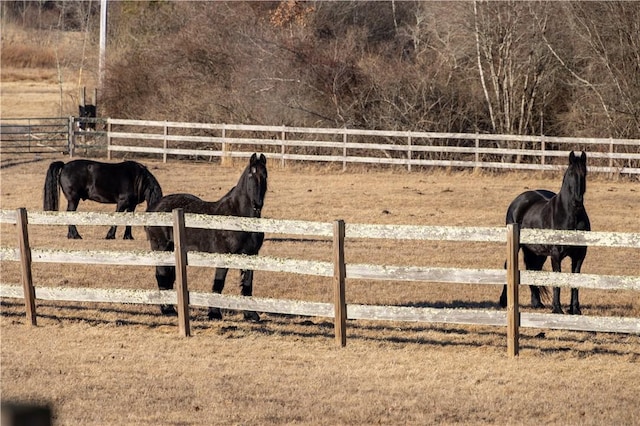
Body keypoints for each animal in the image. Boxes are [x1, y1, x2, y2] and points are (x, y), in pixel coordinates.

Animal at [147, 151, 268, 322]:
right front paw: (214, 313)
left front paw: (251, 315)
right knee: (161, 275)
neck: (238, 215)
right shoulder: (224, 255)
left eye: (265, 175)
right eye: (251, 174)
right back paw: (168, 310)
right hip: (161, 248)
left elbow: (247, 284)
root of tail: (154, 207)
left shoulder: (251, 255)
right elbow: (219, 283)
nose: (257, 204)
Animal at [500, 151, 592, 314]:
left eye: (584, 173)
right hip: (518, 247)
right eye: (571, 173)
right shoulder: (556, 255)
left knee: (533, 269)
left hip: (537, 252)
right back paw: (504, 302)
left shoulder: (579, 255)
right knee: (508, 265)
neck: (571, 215)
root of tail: (518, 201)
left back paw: (537, 303)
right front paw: (557, 309)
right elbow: (557, 279)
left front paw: (575, 310)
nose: (577, 201)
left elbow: (575, 279)